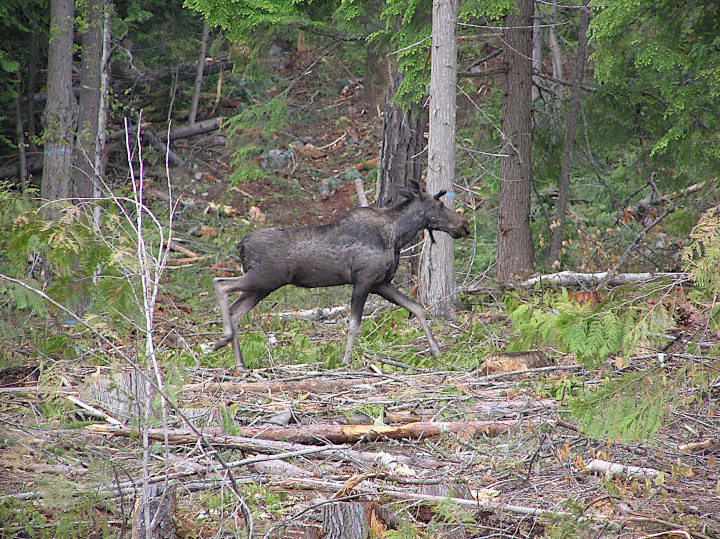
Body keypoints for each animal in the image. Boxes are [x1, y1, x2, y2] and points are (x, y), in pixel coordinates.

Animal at [214, 179, 470, 370]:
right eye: (439, 204)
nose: (464, 224)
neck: (397, 236)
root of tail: (240, 245)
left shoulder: (381, 283)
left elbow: (416, 307)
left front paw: (435, 350)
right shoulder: (364, 279)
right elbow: (354, 322)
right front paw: (346, 360)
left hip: (262, 286)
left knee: (236, 311)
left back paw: (239, 363)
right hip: (264, 278)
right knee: (221, 283)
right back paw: (223, 339)